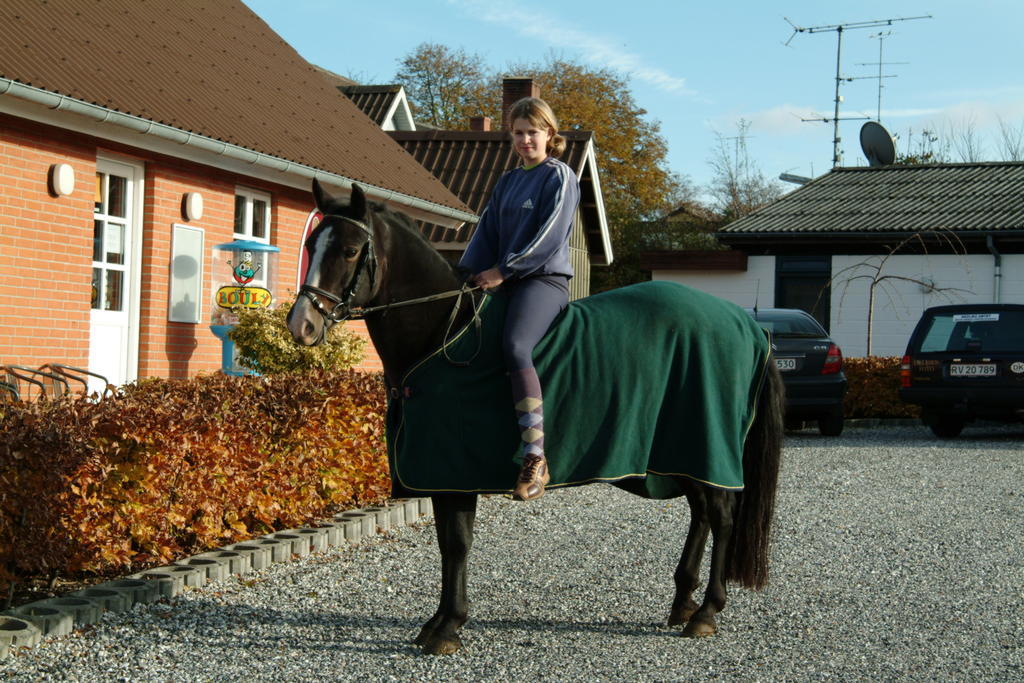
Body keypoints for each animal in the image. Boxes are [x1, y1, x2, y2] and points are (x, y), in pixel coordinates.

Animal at [288, 181, 782, 655]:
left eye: (351, 250)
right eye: (312, 242)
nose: (302, 324)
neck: (445, 331)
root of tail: (748, 325)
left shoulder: (455, 471)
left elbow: (458, 543)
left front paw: (449, 626)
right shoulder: (442, 476)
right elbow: (447, 544)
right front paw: (437, 622)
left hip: (706, 446)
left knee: (721, 516)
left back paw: (707, 611)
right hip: (683, 452)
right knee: (702, 514)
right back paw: (683, 603)